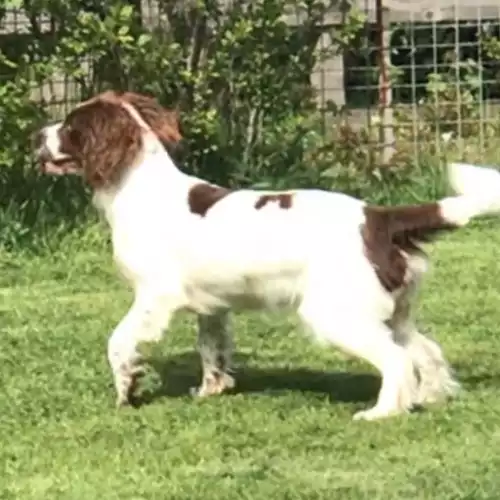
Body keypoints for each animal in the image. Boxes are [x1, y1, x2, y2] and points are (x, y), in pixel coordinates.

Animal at [33, 89, 500, 418]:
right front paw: (210, 390)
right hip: (392, 311)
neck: (139, 189)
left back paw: (382, 412)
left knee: (396, 359)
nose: (35, 134)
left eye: (71, 126)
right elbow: (211, 348)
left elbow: (119, 342)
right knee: (425, 350)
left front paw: (126, 390)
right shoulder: (212, 304)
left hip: (335, 312)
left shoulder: (155, 295)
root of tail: (377, 218)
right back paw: (430, 398)